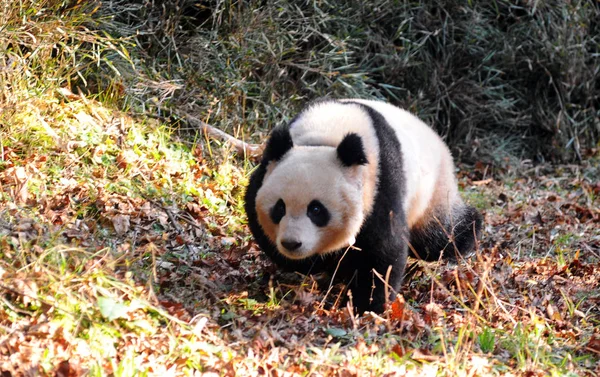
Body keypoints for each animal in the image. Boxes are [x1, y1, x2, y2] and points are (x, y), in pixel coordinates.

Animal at [244, 98, 482, 312]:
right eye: (279, 208)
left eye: (316, 210)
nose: (291, 243)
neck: (326, 137)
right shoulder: (266, 170)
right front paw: (317, 264)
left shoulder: (381, 183)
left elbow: (382, 250)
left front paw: (367, 305)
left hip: (432, 191)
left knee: (439, 234)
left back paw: (471, 231)